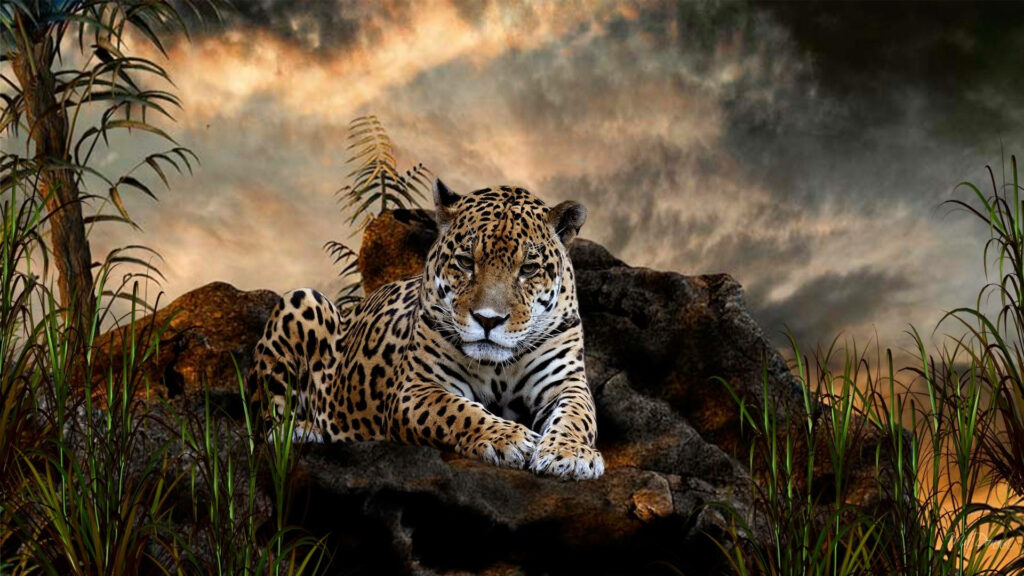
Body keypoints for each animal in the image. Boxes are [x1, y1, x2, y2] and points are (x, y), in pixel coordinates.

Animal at [248, 179, 603, 480]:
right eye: (465, 262)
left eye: (528, 269)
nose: (488, 320)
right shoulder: (416, 389)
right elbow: (458, 411)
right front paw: (510, 438)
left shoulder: (566, 383)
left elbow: (577, 416)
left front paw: (570, 454)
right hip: (302, 299)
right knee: (265, 423)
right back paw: (303, 430)